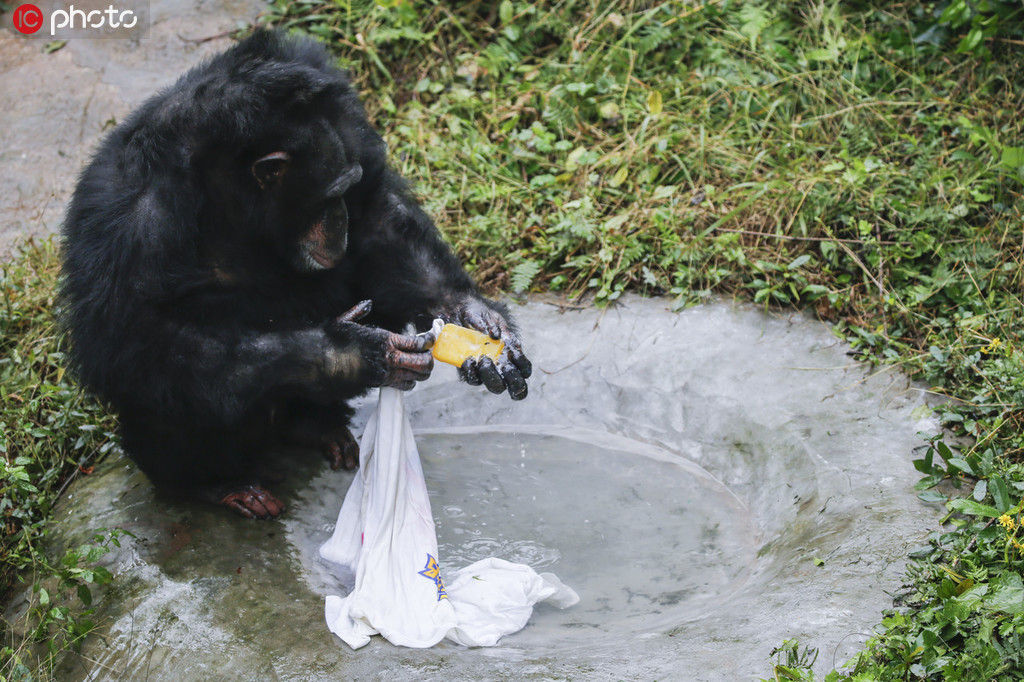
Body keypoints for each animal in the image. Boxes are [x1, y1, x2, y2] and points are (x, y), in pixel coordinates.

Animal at [59, 30, 532, 516]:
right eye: (327, 196)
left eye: (346, 188)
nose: (340, 218)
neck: (229, 193)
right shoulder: (132, 220)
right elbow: (139, 339)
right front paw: (350, 353)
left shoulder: (345, 121)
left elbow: (377, 214)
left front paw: (475, 321)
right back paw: (212, 484)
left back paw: (319, 428)